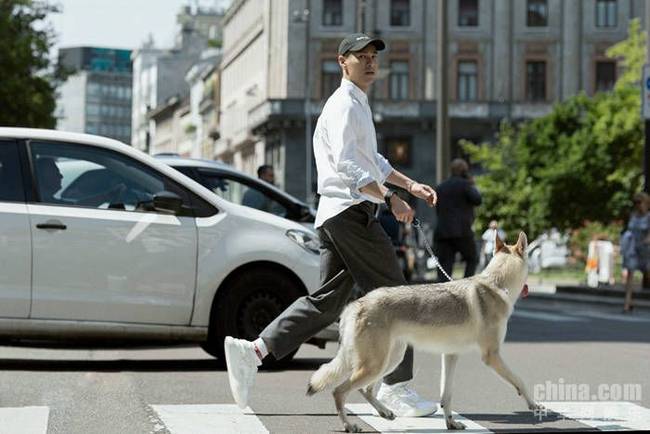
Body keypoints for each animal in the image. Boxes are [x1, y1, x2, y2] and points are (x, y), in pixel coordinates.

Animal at [306, 232, 540, 432]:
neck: (497, 285)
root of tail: (353, 306)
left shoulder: (451, 355)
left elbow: (446, 396)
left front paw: (451, 424)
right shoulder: (491, 356)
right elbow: (520, 380)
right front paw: (535, 405)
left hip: (390, 360)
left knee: (365, 390)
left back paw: (385, 412)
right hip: (376, 365)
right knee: (339, 391)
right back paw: (349, 426)